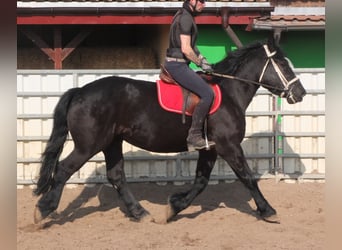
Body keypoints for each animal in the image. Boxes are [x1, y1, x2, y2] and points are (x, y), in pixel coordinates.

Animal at [32, 38, 304, 225]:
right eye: (283, 64)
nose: (300, 93)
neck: (229, 93)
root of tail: (80, 91)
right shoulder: (228, 146)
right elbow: (247, 177)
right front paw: (267, 210)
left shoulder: (210, 149)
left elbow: (201, 182)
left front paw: (173, 207)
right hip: (89, 145)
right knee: (64, 169)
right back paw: (43, 210)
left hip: (112, 142)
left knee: (116, 176)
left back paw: (140, 212)